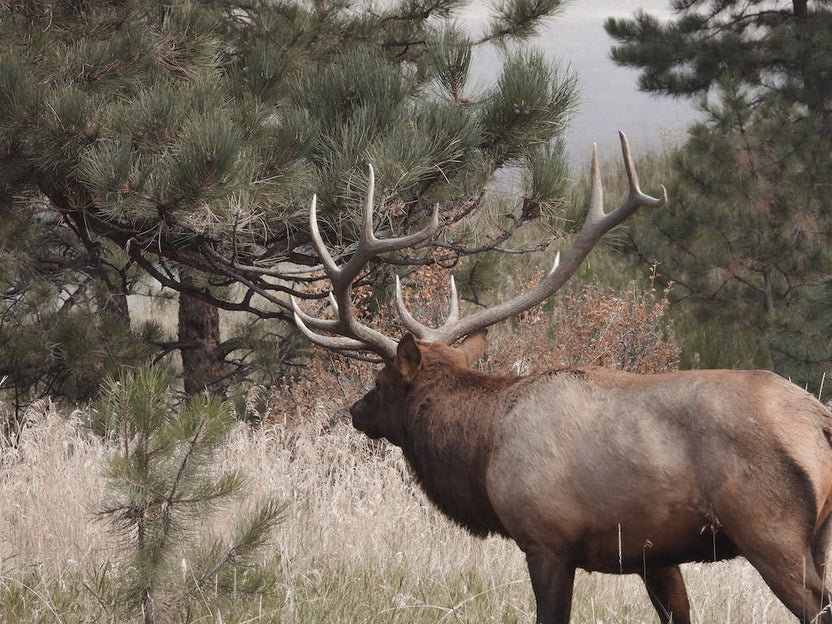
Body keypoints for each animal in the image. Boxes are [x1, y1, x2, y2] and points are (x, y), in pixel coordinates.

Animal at [290, 132, 832, 624]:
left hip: (769, 530)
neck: (483, 448)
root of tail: (819, 422)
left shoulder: (545, 538)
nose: (355, 410)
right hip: (817, 538)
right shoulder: (652, 554)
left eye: (381, 382)